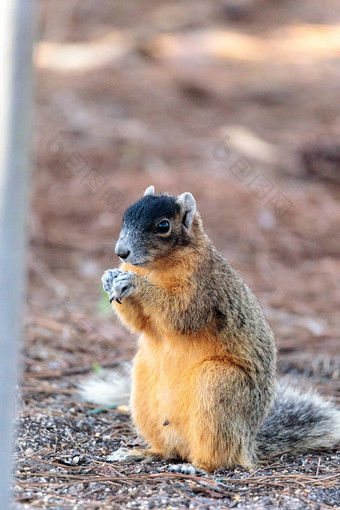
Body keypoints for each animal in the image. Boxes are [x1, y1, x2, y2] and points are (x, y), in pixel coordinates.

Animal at [81, 186, 338, 474]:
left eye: (163, 226)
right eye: (125, 216)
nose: (121, 252)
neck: (158, 266)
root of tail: (247, 444)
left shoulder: (203, 288)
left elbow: (181, 313)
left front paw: (136, 283)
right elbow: (139, 323)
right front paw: (109, 278)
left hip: (218, 386)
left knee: (219, 456)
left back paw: (196, 467)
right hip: (143, 391)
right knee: (169, 450)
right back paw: (141, 452)